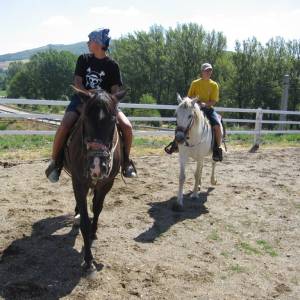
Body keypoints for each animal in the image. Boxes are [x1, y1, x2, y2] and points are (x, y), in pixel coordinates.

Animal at [64, 88, 125, 274]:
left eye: (113, 120)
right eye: (85, 118)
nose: (96, 166)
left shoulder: (106, 184)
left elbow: (97, 208)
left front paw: (93, 232)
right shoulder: (79, 183)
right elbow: (84, 220)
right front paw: (88, 260)